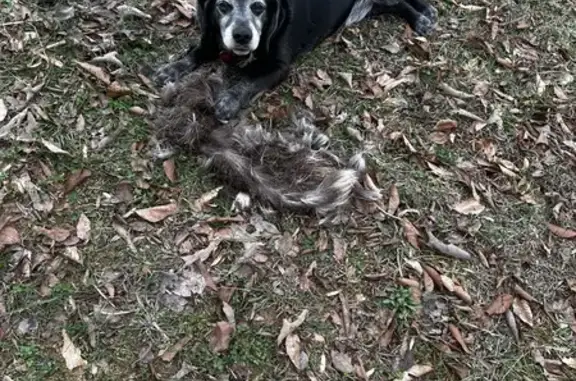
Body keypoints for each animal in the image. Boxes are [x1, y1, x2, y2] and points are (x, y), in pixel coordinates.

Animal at [152, 0, 436, 121]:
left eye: (259, 6)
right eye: (223, 5)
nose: (242, 36)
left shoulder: (279, 67)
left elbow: (247, 82)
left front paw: (228, 101)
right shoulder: (211, 39)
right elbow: (195, 54)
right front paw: (171, 69)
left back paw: (421, 16)